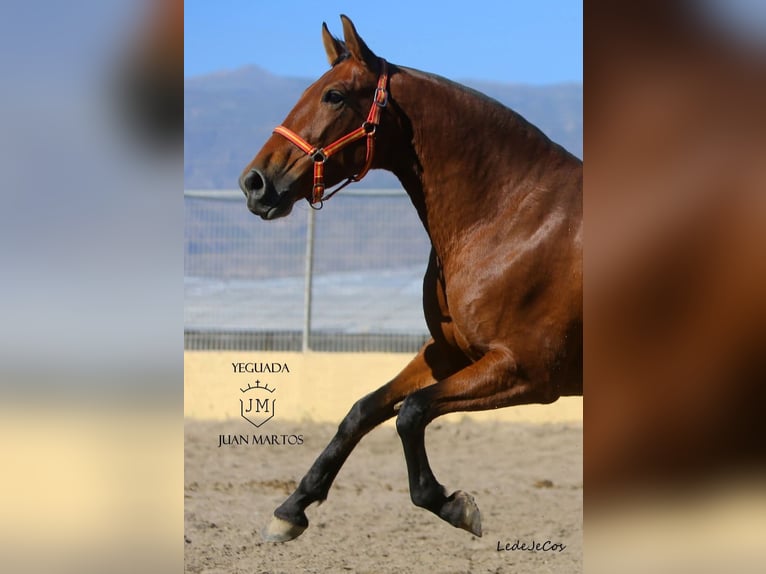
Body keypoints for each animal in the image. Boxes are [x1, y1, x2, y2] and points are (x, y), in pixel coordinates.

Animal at [239, 15, 582, 542]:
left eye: (334, 96)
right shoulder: (449, 354)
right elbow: (363, 411)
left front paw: (452, 504)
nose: (254, 183)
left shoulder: (527, 372)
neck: (510, 216)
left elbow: (411, 413)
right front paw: (291, 508)